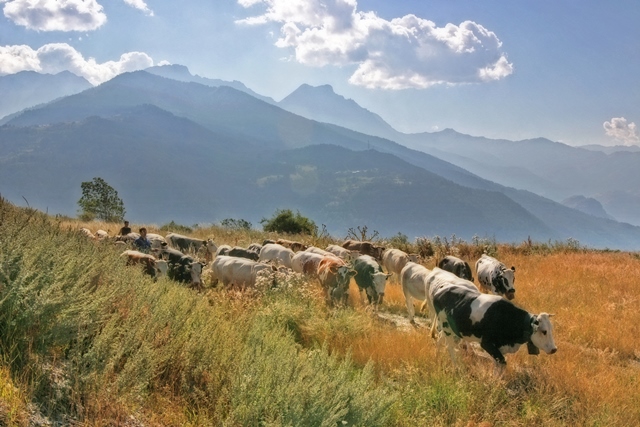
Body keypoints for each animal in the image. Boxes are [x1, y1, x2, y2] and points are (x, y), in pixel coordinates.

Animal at [427, 268, 556, 368]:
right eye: (544, 331)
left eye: (551, 330)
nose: (554, 349)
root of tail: (442, 289)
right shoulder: (486, 343)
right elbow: (502, 363)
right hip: (446, 328)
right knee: (449, 346)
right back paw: (457, 366)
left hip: (450, 329)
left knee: (440, 339)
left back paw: (437, 357)